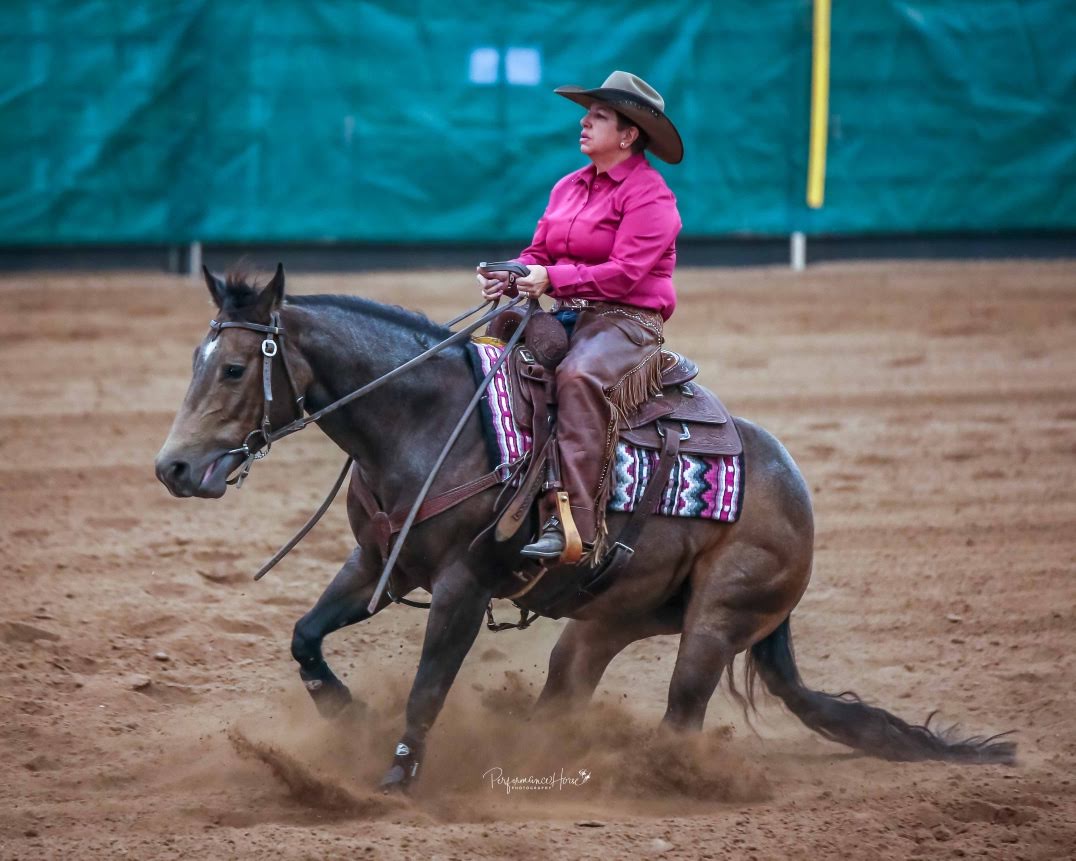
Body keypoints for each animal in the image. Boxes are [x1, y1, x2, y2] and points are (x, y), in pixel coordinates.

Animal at [153, 269, 1015, 792]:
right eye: (195, 359)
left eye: (234, 368)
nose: (172, 467)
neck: (430, 419)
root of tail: (796, 492)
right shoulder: (378, 562)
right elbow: (305, 634)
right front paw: (344, 714)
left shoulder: (462, 585)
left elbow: (429, 687)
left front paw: (397, 777)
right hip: (606, 622)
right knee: (565, 692)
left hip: (716, 621)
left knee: (681, 715)